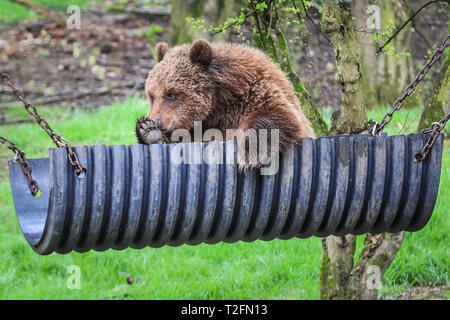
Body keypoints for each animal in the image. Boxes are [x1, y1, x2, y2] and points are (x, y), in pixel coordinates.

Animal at [135, 39, 314, 171]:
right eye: (152, 95)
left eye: (171, 94)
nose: (156, 120)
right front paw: (148, 131)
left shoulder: (255, 93)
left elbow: (277, 115)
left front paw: (250, 157)